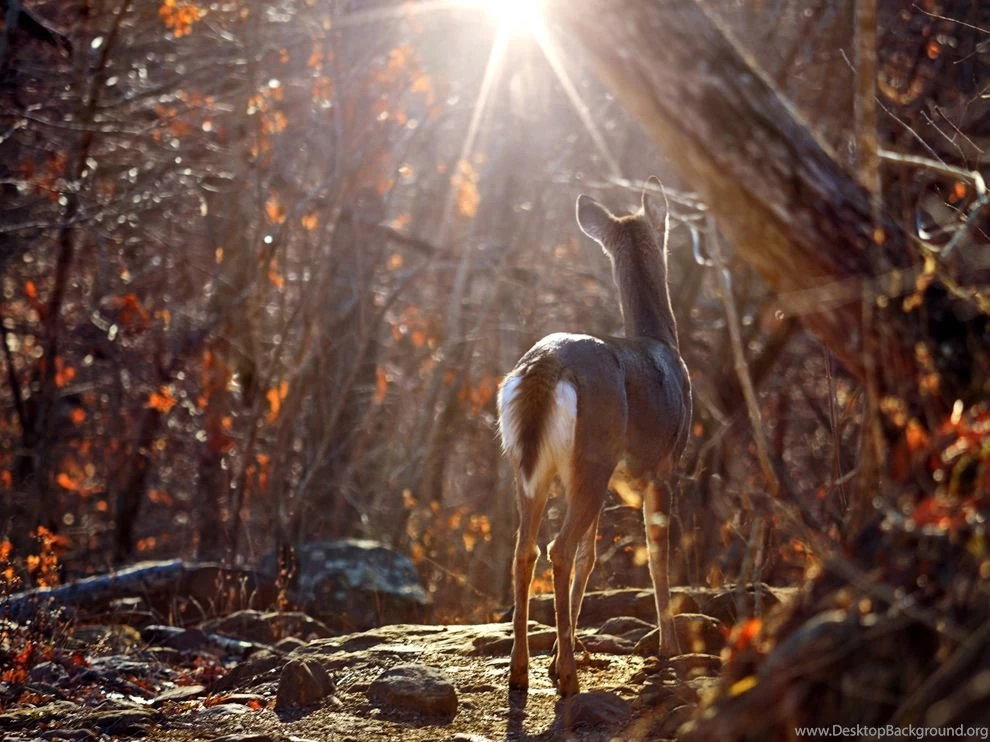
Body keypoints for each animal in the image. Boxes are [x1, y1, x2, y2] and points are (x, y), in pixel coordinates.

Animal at [497, 179, 692, 696]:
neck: (662, 343)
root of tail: (545, 365)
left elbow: (592, 554)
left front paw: (556, 652)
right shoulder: (664, 465)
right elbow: (657, 553)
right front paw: (669, 648)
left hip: (531, 466)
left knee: (525, 550)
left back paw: (522, 671)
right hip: (593, 455)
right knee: (558, 548)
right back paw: (568, 677)